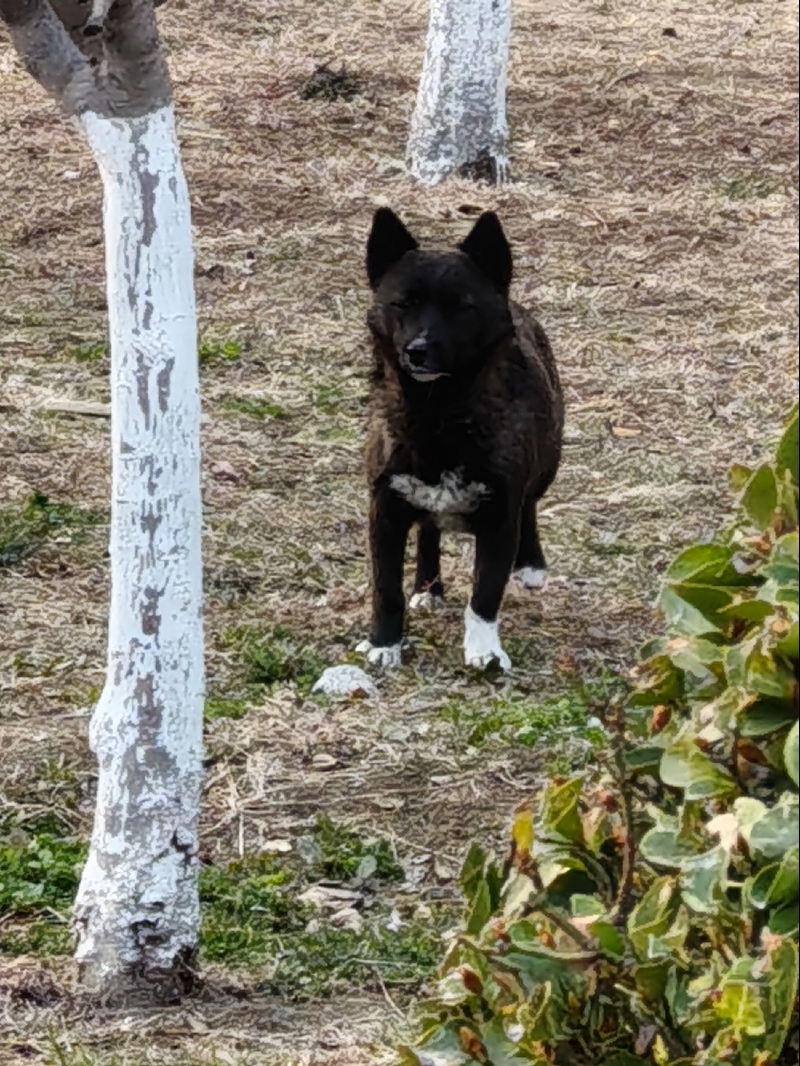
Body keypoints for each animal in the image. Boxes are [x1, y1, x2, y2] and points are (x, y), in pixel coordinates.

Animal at [356, 208, 563, 669]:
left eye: (460, 307)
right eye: (403, 303)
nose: (416, 351)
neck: (437, 416)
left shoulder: (501, 517)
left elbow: (485, 594)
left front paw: (484, 651)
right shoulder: (385, 511)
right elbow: (386, 590)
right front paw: (384, 645)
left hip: (547, 463)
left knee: (531, 506)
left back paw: (531, 564)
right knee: (428, 530)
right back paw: (427, 587)